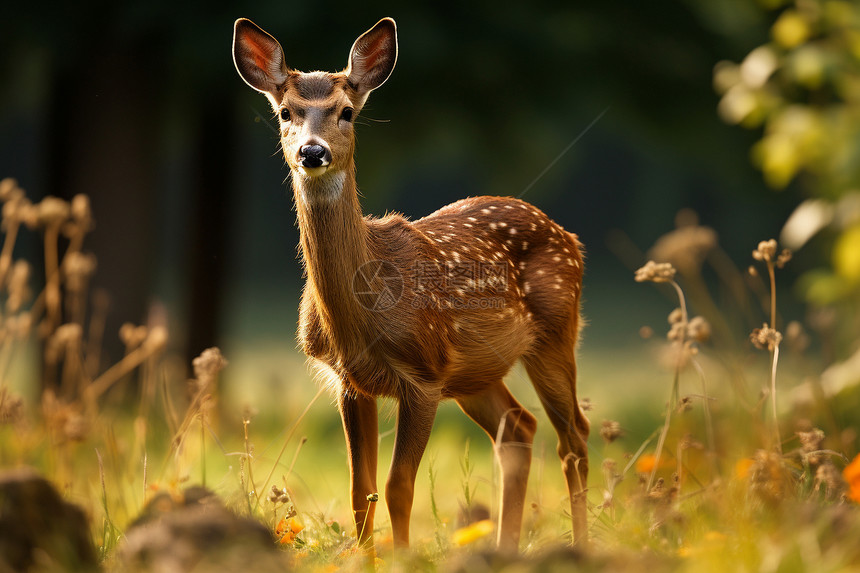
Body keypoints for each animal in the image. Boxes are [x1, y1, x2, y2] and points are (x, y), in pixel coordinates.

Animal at [232, 17, 588, 552]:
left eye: (347, 112)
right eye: (285, 112)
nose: (311, 152)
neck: (361, 319)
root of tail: (570, 236)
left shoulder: (423, 374)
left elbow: (399, 486)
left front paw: (402, 557)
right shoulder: (350, 382)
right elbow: (360, 491)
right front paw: (369, 558)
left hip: (553, 334)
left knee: (574, 438)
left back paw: (583, 543)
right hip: (475, 371)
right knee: (519, 428)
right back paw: (505, 548)